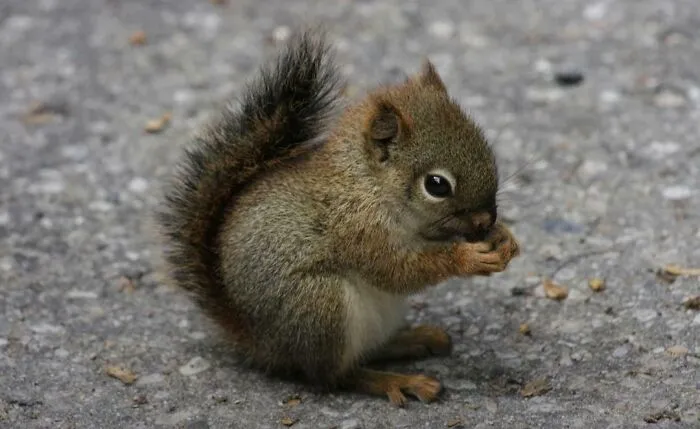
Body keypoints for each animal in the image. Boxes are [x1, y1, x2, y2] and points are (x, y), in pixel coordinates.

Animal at [155, 30, 520, 406]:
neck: (367, 184)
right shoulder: (357, 228)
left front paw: (503, 237)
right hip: (320, 306)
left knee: (369, 351)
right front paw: (469, 258)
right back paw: (395, 380)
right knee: (334, 376)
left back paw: (412, 339)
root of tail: (262, 343)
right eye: (436, 185)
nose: (485, 219)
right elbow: (397, 270)